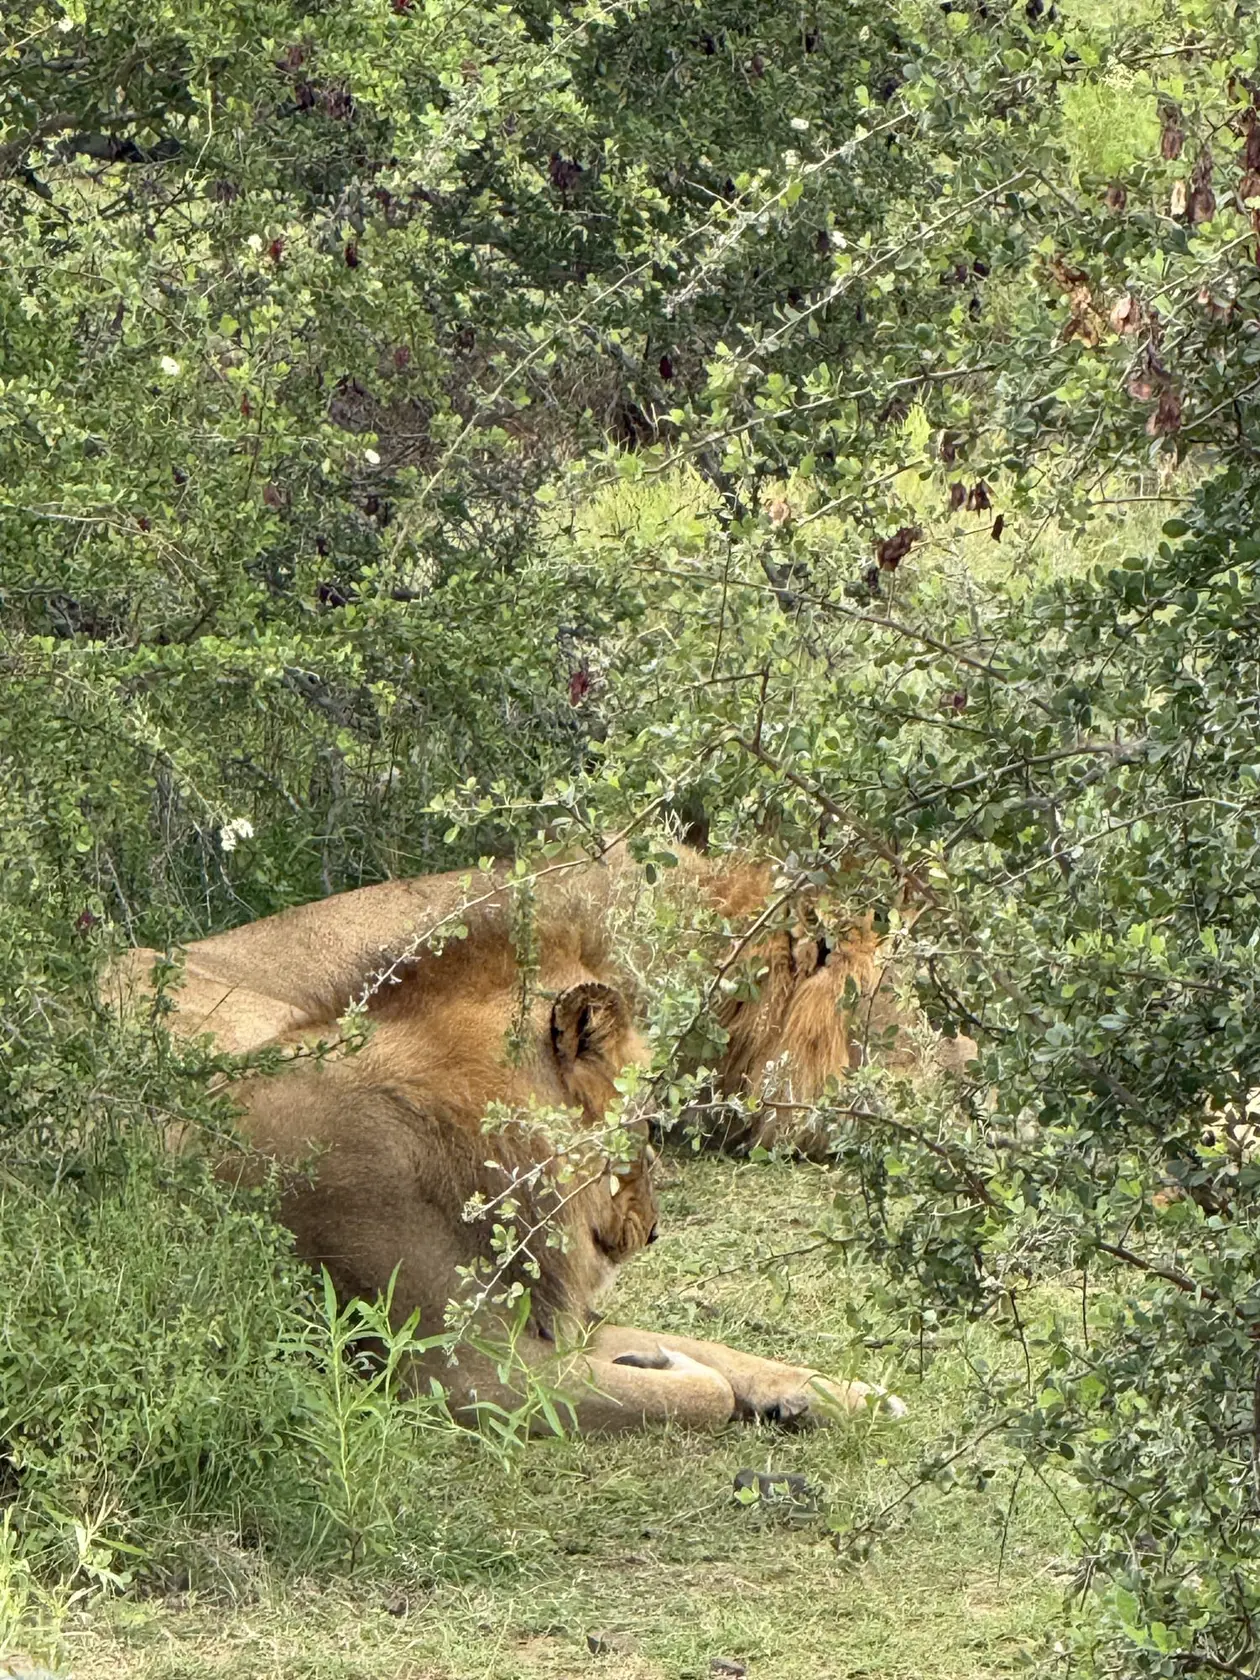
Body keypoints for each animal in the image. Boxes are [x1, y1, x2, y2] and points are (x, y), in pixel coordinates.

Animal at [108, 853, 906, 1434]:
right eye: (648, 1127)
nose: (653, 1232)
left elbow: (719, 1349)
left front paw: (851, 1394)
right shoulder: (462, 1370)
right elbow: (698, 1388)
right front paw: (663, 1365)